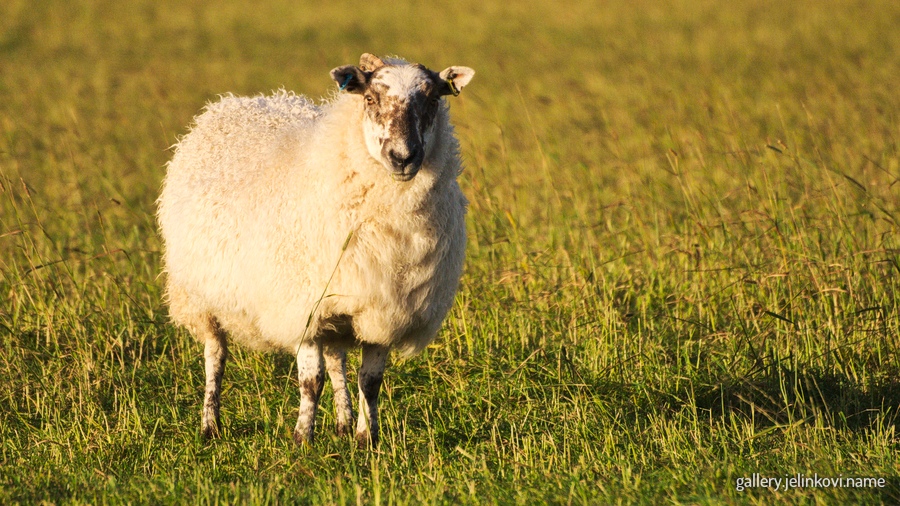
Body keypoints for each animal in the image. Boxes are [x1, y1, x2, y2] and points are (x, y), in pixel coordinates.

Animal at [157, 53, 475, 447]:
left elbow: (370, 382)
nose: (403, 157)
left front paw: (367, 439)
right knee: (215, 355)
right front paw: (302, 439)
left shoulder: (382, 309)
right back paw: (210, 425)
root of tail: (231, 102)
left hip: (336, 308)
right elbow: (311, 382)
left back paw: (343, 423)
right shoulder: (303, 307)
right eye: (370, 98)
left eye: (432, 100)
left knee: (338, 360)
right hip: (199, 296)